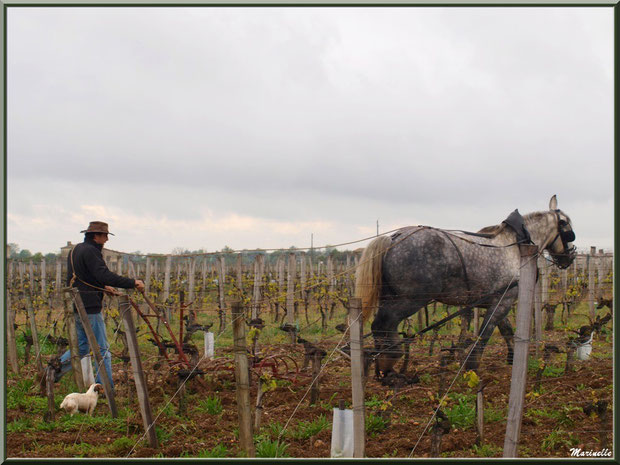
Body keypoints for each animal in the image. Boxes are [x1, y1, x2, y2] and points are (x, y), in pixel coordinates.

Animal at [354, 194, 576, 376]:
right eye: (567, 228)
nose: (571, 256)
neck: (515, 248)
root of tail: (394, 238)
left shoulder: (496, 300)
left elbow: (505, 329)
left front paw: (512, 357)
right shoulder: (505, 299)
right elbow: (486, 331)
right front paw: (472, 364)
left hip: (391, 296)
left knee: (384, 327)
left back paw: (386, 362)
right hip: (412, 299)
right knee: (383, 323)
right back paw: (390, 360)